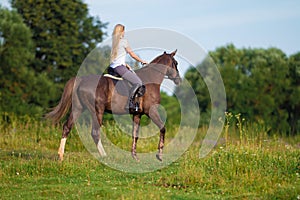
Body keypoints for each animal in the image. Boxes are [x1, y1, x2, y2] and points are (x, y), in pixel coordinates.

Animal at [44, 49, 180, 161]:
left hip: (78, 108)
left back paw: (60, 156)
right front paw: (159, 155)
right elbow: (162, 128)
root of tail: (81, 80)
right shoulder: (151, 111)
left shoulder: (137, 114)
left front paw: (134, 156)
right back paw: (104, 156)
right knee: (95, 132)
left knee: (67, 127)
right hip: (97, 110)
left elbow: (135, 135)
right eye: (176, 63)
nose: (178, 80)